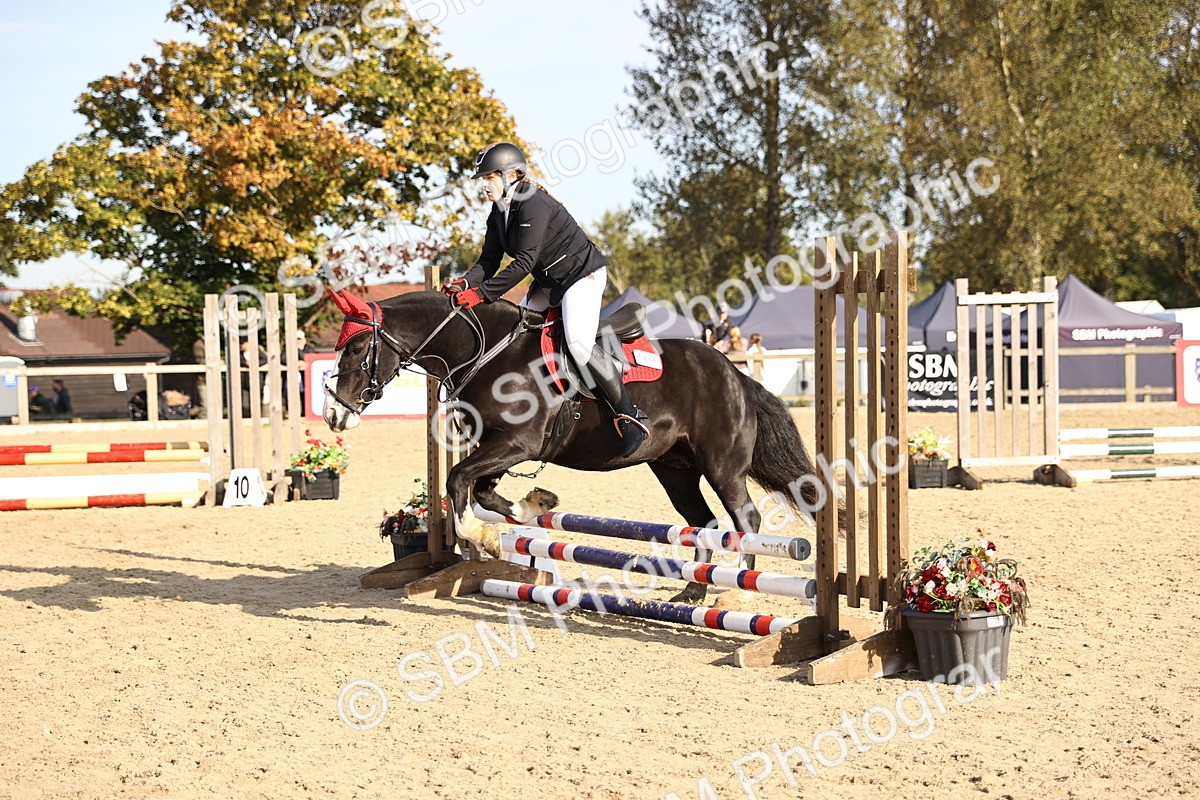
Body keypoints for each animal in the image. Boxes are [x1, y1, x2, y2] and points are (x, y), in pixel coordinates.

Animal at [322, 288, 838, 604]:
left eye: (355, 348)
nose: (333, 413)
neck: (489, 353)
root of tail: (734, 371)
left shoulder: (518, 442)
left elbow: (458, 480)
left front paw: (481, 535)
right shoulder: (498, 446)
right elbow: (481, 489)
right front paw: (530, 509)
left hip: (722, 464)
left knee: (744, 519)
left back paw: (741, 589)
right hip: (674, 468)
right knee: (703, 522)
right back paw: (693, 592)